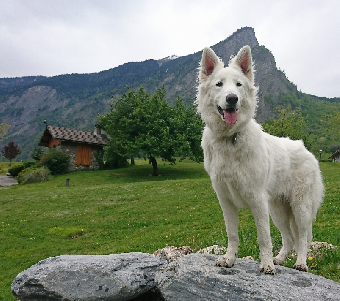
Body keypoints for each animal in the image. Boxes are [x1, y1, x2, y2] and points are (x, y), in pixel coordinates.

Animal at [197, 45, 324, 274]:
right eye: (219, 84)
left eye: (238, 85)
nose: (232, 98)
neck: (230, 138)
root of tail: (308, 152)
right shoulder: (226, 201)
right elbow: (232, 234)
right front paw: (229, 259)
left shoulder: (257, 201)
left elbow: (264, 237)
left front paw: (266, 265)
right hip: (278, 210)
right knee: (289, 238)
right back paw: (280, 259)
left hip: (300, 208)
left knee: (302, 238)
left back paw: (300, 262)